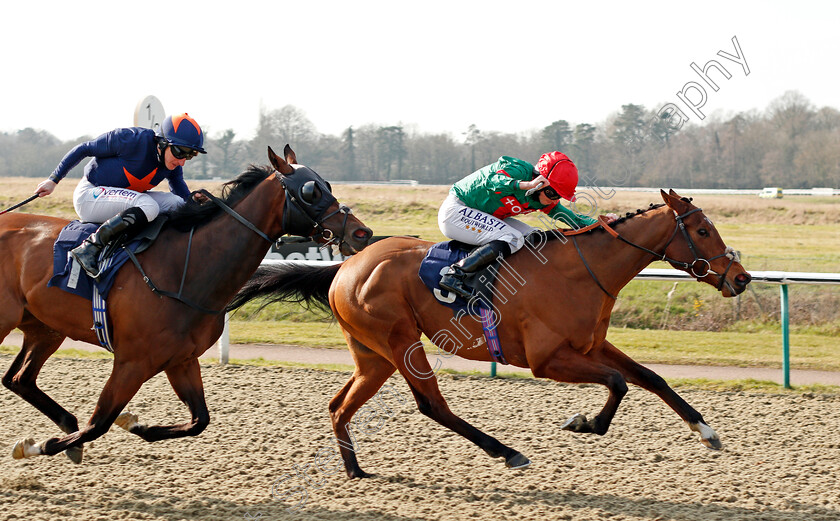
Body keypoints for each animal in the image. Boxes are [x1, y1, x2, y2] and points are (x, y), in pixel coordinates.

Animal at [0, 144, 370, 462]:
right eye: (310, 191)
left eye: (327, 184)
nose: (361, 233)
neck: (185, 269)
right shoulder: (132, 361)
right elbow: (98, 424)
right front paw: (36, 446)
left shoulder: (181, 359)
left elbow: (198, 421)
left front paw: (135, 424)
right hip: (9, 321)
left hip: (44, 327)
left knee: (19, 379)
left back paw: (66, 423)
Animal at [228, 190, 748, 476]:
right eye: (703, 230)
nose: (740, 278)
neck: (582, 270)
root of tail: (345, 266)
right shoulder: (547, 360)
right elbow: (619, 383)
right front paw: (586, 423)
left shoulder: (592, 344)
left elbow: (650, 377)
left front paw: (707, 431)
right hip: (401, 343)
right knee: (432, 405)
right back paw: (507, 451)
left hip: (373, 355)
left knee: (340, 405)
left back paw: (355, 470)